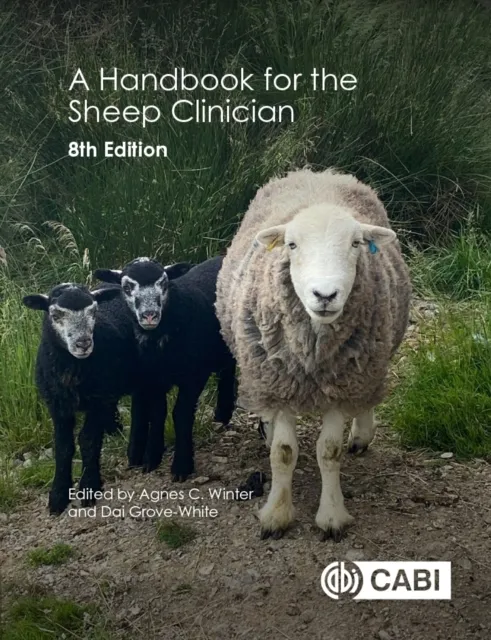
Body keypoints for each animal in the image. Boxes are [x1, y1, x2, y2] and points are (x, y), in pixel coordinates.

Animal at [23, 283, 138, 515]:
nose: (83, 343)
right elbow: (63, 446)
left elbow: (88, 440)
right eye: (55, 314)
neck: (72, 370)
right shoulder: (57, 405)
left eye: (93, 311)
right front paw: (58, 495)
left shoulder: (97, 399)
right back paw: (114, 429)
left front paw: (89, 486)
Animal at [94, 256, 237, 480]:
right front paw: (151, 458)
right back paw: (222, 414)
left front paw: (181, 466)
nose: (149, 315)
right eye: (127, 287)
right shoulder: (154, 379)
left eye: (163, 283)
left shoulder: (194, 375)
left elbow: (181, 414)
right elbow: (158, 413)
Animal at [215, 167, 411, 540]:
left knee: (366, 398)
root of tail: (319, 172)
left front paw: (332, 516)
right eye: (292, 245)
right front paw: (276, 515)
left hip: (371, 358)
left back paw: (361, 434)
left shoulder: (343, 381)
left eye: (355, 243)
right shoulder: (279, 381)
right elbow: (283, 453)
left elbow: (329, 451)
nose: (325, 295)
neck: (313, 356)